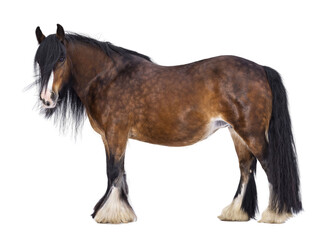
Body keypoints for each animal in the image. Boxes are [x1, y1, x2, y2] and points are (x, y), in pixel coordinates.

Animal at [33, 23, 304, 223]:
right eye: (39, 61)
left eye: (61, 58)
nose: (47, 99)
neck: (108, 77)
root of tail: (260, 68)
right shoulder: (111, 137)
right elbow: (117, 171)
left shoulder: (115, 133)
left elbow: (113, 171)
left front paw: (111, 215)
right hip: (237, 134)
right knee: (246, 169)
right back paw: (235, 213)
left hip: (252, 134)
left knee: (270, 166)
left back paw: (275, 214)